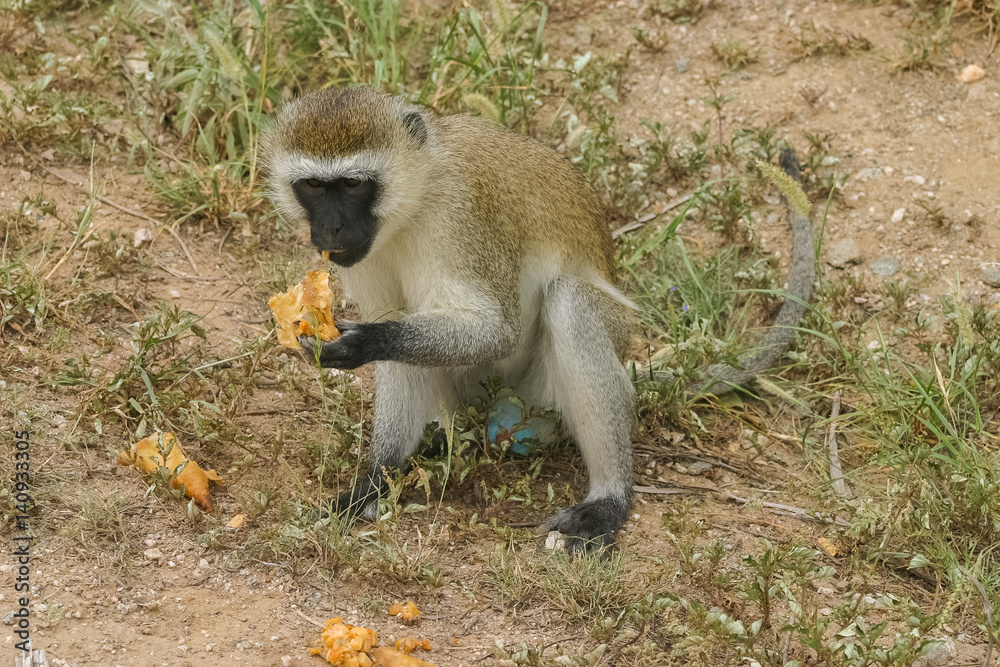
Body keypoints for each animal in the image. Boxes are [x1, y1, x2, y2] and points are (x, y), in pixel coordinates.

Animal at [260, 86, 813, 551]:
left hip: (541, 398)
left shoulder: (460, 215)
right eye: (313, 187)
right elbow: (396, 330)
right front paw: (374, 482)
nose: (330, 227)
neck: (413, 200)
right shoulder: (362, 255)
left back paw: (609, 498)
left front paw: (359, 344)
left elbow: (494, 329)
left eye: (353, 185)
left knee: (570, 304)